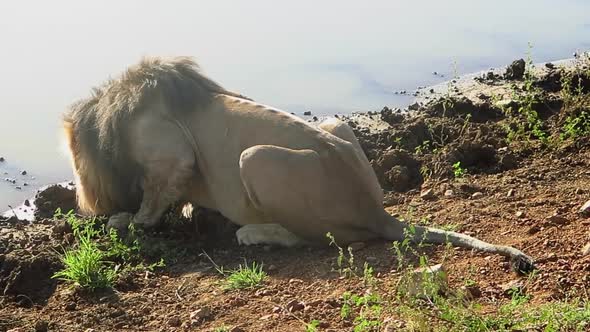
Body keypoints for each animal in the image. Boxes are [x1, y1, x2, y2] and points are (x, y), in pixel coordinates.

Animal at [63, 56, 536, 272]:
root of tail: (378, 212)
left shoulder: (171, 152)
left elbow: (152, 199)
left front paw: (126, 221)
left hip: (255, 159)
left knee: (317, 239)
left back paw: (253, 233)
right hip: (338, 125)